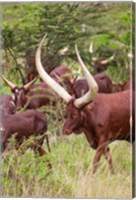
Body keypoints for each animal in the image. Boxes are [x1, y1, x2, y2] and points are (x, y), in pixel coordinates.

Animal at [35, 34, 135, 173]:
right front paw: (112, 174)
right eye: (66, 114)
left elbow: (95, 162)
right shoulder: (99, 143)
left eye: (75, 115)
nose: (65, 130)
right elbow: (109, 160)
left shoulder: (103, 140)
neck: (92, 116)